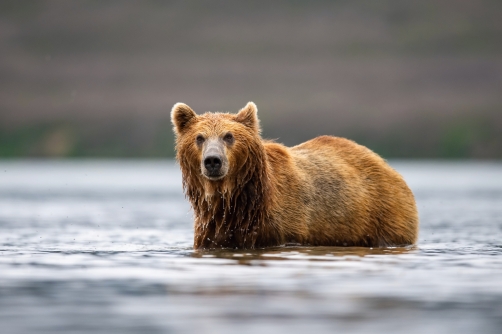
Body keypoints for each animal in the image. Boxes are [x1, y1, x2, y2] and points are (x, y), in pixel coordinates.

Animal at [173, 103, 420, 249]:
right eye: (199, 138)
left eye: (228, 136)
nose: (213, 161)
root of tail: (387, 166)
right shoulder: (213, 230)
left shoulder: (283, 227)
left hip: (383, 215)